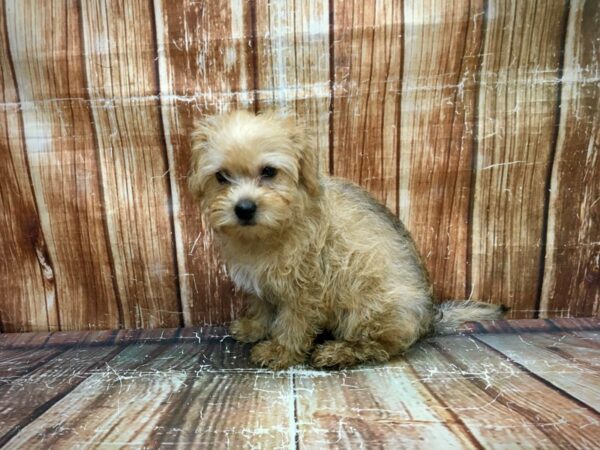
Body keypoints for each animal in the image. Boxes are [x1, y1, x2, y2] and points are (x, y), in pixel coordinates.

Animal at [189, 110, 506, 370]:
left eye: (269, 171)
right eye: (221, 176)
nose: (244, 208)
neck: (271, 233)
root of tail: (430, 319)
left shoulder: (305, 290)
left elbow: (293, 324)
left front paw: (281, 351)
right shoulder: (262, 284)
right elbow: (262, 307)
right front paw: (253, 328)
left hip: (369, 304)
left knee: (382, 346)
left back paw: (338, 352)